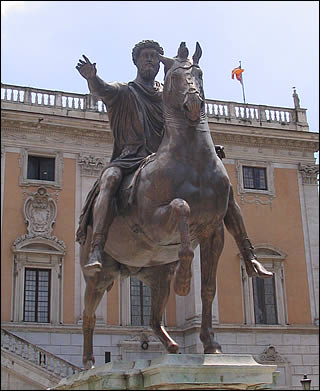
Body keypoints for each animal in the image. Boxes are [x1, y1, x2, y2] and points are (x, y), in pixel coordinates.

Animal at [79, 43, 230, 370]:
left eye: (200, 73)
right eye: (173, 77)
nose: (194, 104)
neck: (192, 161)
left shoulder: (214, 231)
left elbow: (209, 288)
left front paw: (211, 343)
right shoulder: (151, 223)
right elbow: (182, 207)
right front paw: (185, 279)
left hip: (156, 276)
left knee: (152, 318)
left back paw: (172, 346)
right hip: (98, 276)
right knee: (88, 316)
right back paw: (88, 363)